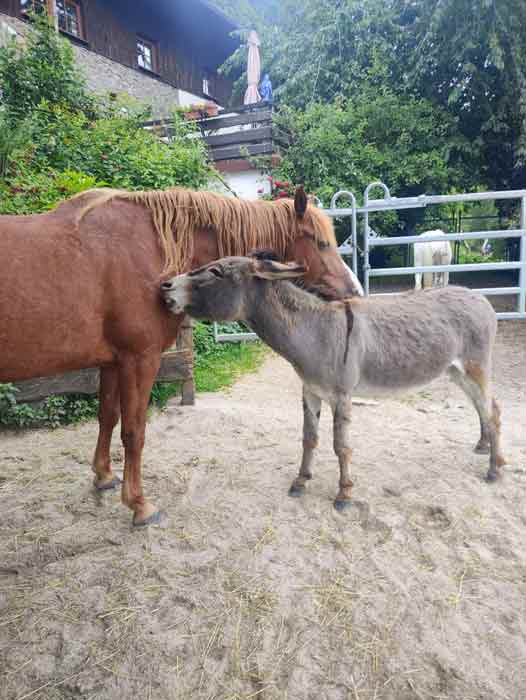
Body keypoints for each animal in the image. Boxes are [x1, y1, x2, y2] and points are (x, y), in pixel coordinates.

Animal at [0, 186, 360, 525]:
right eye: (321, 243)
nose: (354, 292)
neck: (153, 246)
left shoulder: (112, 362)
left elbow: (108, 418)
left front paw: (103, 476)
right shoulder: (139, 360)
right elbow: (134, 432)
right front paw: (139, 504)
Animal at [162, 256, 505, 509]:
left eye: (215, 271)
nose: (165, 286)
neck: (314, 331)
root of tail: (480, 297)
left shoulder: (341, 396)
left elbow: (341, 446)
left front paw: (344, 494)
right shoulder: (310, 392)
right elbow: (309, 438)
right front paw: (301, 481)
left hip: (475, 368)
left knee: (493, 411)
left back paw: (494, 468)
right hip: (456, 372)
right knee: (483, 407)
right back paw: (483, 446)